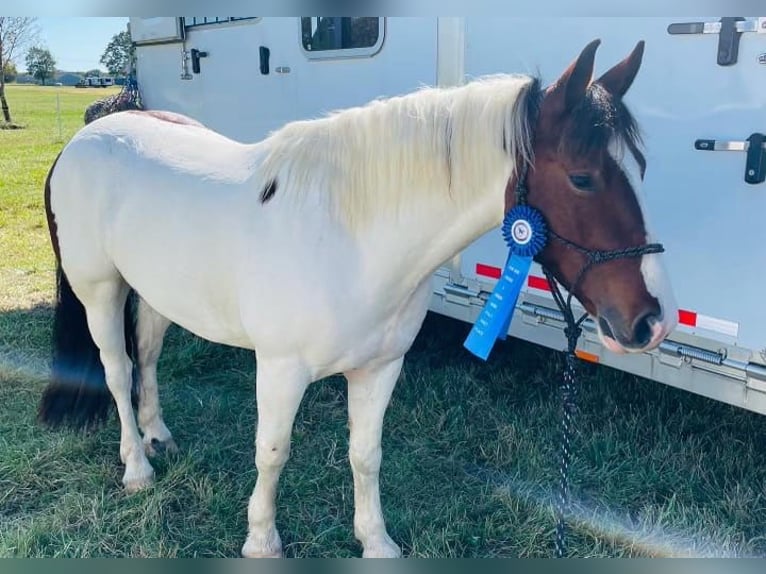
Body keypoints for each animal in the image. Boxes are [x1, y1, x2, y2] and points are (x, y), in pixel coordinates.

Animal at [40, 39, 680, 560]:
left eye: (642, 170)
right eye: (581, 178)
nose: (651, 321)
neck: (352, 238)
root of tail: (82, 139)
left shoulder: (380, 367)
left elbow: (365, 454)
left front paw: (375, 541)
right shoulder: (279, 369)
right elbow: (273, 450)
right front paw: (261, 541)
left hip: (155, 293)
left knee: (146, 357)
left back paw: (159, 435)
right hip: (100, 292)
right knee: (117, 370)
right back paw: (137, 467)